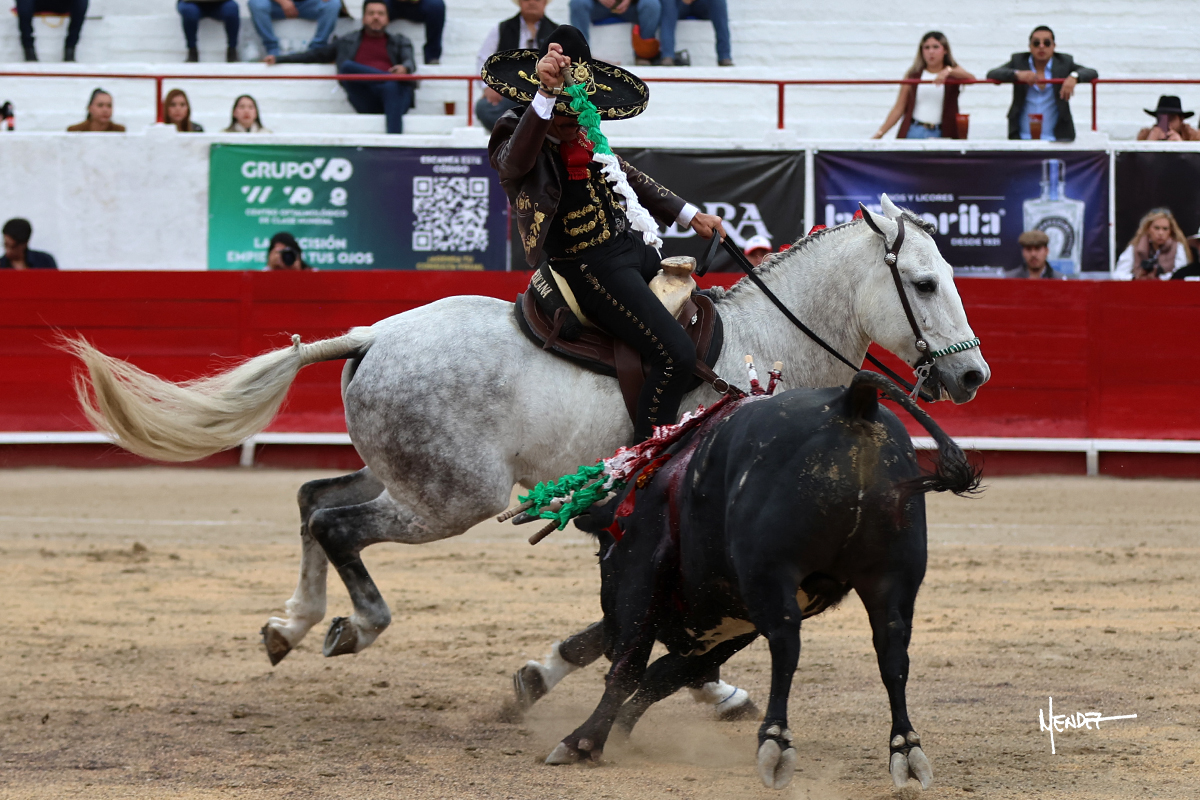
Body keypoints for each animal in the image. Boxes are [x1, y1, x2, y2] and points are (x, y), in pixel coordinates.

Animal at [66, 196, 989, 704]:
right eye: (925, 282)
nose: (973, 373)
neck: (764, 350)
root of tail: (374, 335)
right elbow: (653, 622)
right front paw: (689, 687)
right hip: (454, 499)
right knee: (337, 526)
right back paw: (353, 626)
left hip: (406, 476)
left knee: (313, 501)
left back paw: (288, 624)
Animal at [538, 370, 981, 791]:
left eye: (603, 556)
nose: (607, 639)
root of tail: (854, 402)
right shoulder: (735, 621)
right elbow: (664, 675)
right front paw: (620, 731)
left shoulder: (645, 572)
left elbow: (633, 666)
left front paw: (584, 742)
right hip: (892, 578)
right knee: (893, 652)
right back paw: (905, 749)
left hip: (772, 572)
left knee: (786, 645)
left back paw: (776, 741)